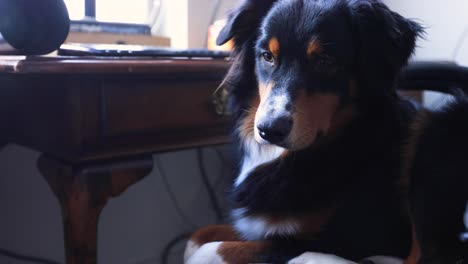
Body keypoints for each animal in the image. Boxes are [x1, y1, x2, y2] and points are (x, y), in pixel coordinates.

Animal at [185, 0, 466, 264]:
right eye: (267, 56)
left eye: (325, 61)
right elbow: (198, 236)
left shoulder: (353, 236)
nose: (269, 130)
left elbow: (216, 249)